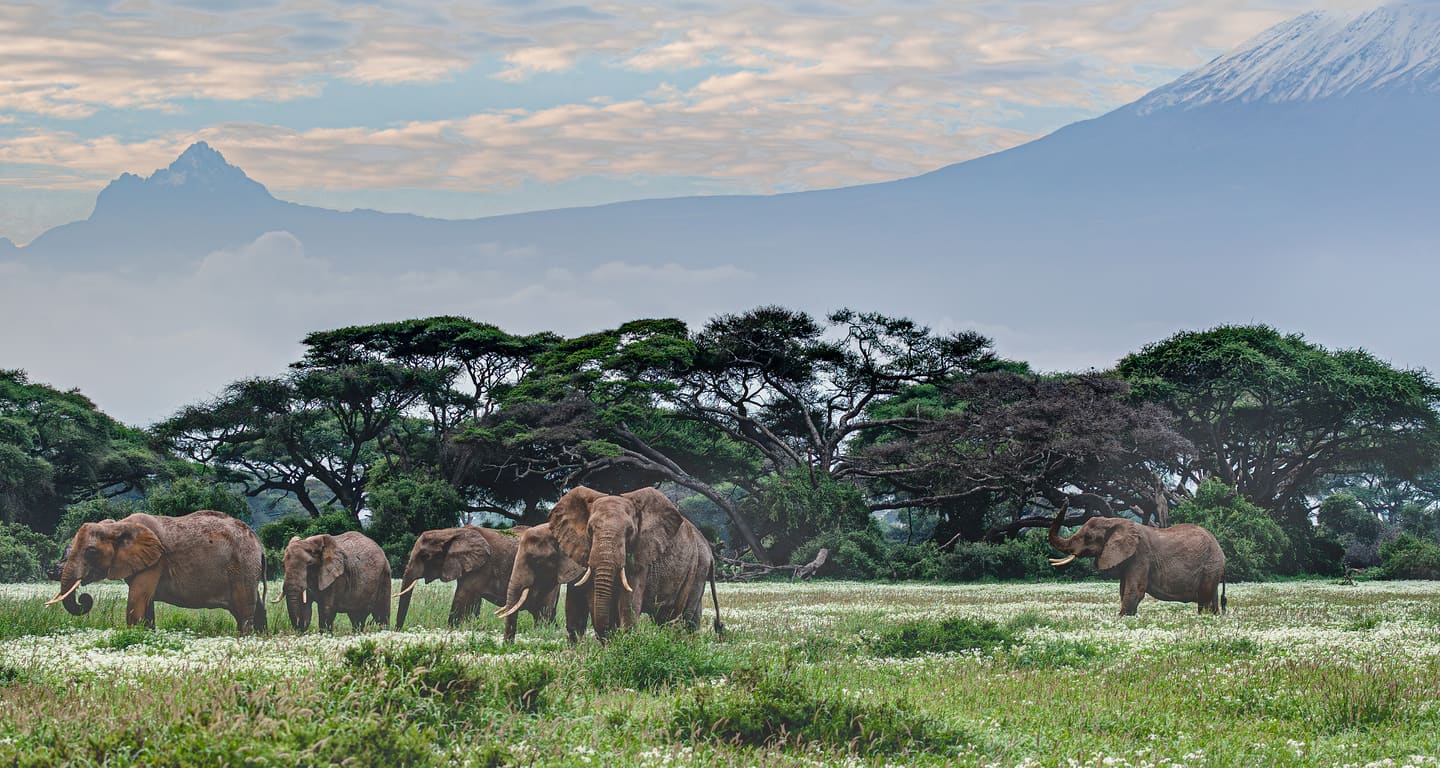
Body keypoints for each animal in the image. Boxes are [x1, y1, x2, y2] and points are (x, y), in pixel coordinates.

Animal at [48, 510, 266, 634]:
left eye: (91, 552)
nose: (84, 598)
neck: (117, 525)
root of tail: (259, 545)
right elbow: (147, 603)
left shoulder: (156, 561)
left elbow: (137, 601)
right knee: (257, 608)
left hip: (243, 566)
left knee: (244, 612)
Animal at [394, 525, 558, 630]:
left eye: (425, 556)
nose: (398, 630)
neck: (450, 532)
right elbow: (473, 603)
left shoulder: (482, 567)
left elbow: (462, 597)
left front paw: (450, 630)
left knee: (543, 613)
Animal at [548, 486, 723, 641]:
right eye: (590, 530)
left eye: (630, 532)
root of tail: (710, 551)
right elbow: (595, 597)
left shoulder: (642, 554)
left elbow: (629, 601)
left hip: (698, 567)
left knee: (684, 615)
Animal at [1048, 509, 1226, 616]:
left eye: (1089, 537)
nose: (1066, 499)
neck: (1114, 521)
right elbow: (1123, 590)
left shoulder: (1141, 555)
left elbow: (1134, 590)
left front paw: (1121, 618)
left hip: (1210, 565)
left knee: (1205, 597)